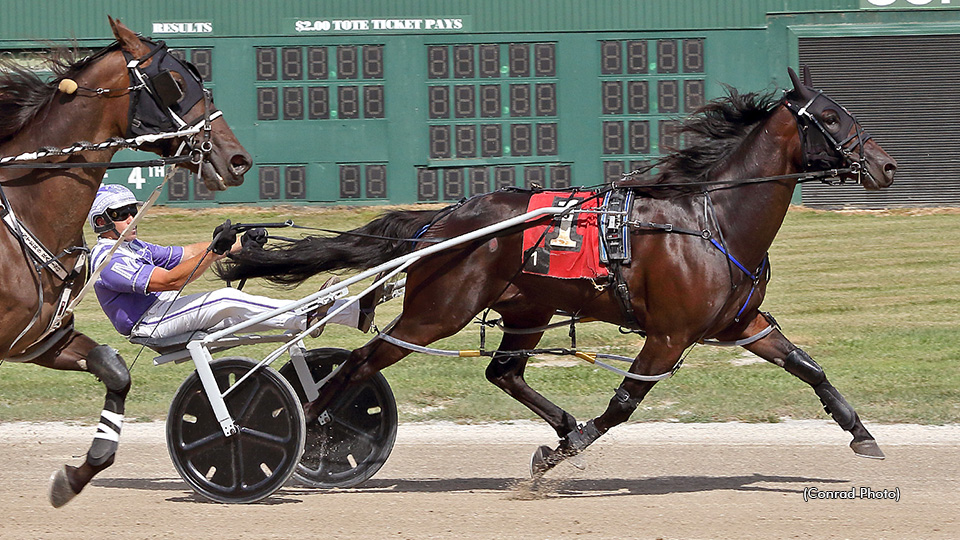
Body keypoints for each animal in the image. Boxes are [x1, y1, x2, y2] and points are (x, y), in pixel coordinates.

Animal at [0, 16, 251, 506]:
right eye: (175, 82)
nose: (237, 159)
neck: (26, 212)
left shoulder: (38, 340)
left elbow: (114, 371)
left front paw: (77, 474)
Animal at [218, 67, 897, 475]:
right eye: (830, 117)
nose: (886, 165)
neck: (713, 220)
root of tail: (442, 220)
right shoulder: (668, 335)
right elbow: (622, 405)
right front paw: (560, 456)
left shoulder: (742, 323)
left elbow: (808, 366)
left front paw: (862, 434)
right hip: (437, 312)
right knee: (362, 362)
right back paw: (312, 430)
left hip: (527, 308)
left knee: (503, 371)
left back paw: (560, 421)